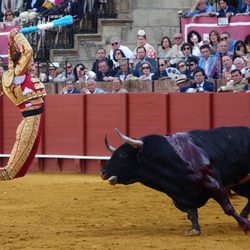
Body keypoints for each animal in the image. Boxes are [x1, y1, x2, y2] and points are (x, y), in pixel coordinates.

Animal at [101, 127, 250, 234]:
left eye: (123, 154)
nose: (103, 172)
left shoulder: (213, 184)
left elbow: (228, 208)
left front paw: (245, 226)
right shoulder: (181, 195)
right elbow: (191, 212)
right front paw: (195, 230)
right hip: (241, 184)